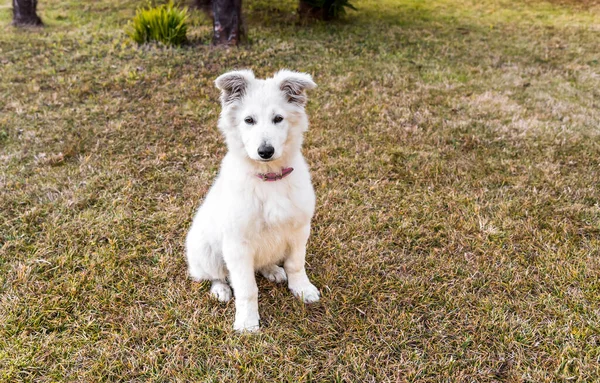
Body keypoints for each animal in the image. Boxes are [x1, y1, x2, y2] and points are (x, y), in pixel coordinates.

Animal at [186, 69, 318, 332]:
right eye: (249, 120)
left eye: (278, 118)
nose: (265, 151)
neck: (269, 180)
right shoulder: (238, 245)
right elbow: (247, 289)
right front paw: (247, 322)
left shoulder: (299, 230)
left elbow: (296, 264)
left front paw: (302, 289)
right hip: (205, 250)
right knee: (217, 275)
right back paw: (220, 290)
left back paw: (273, 270)